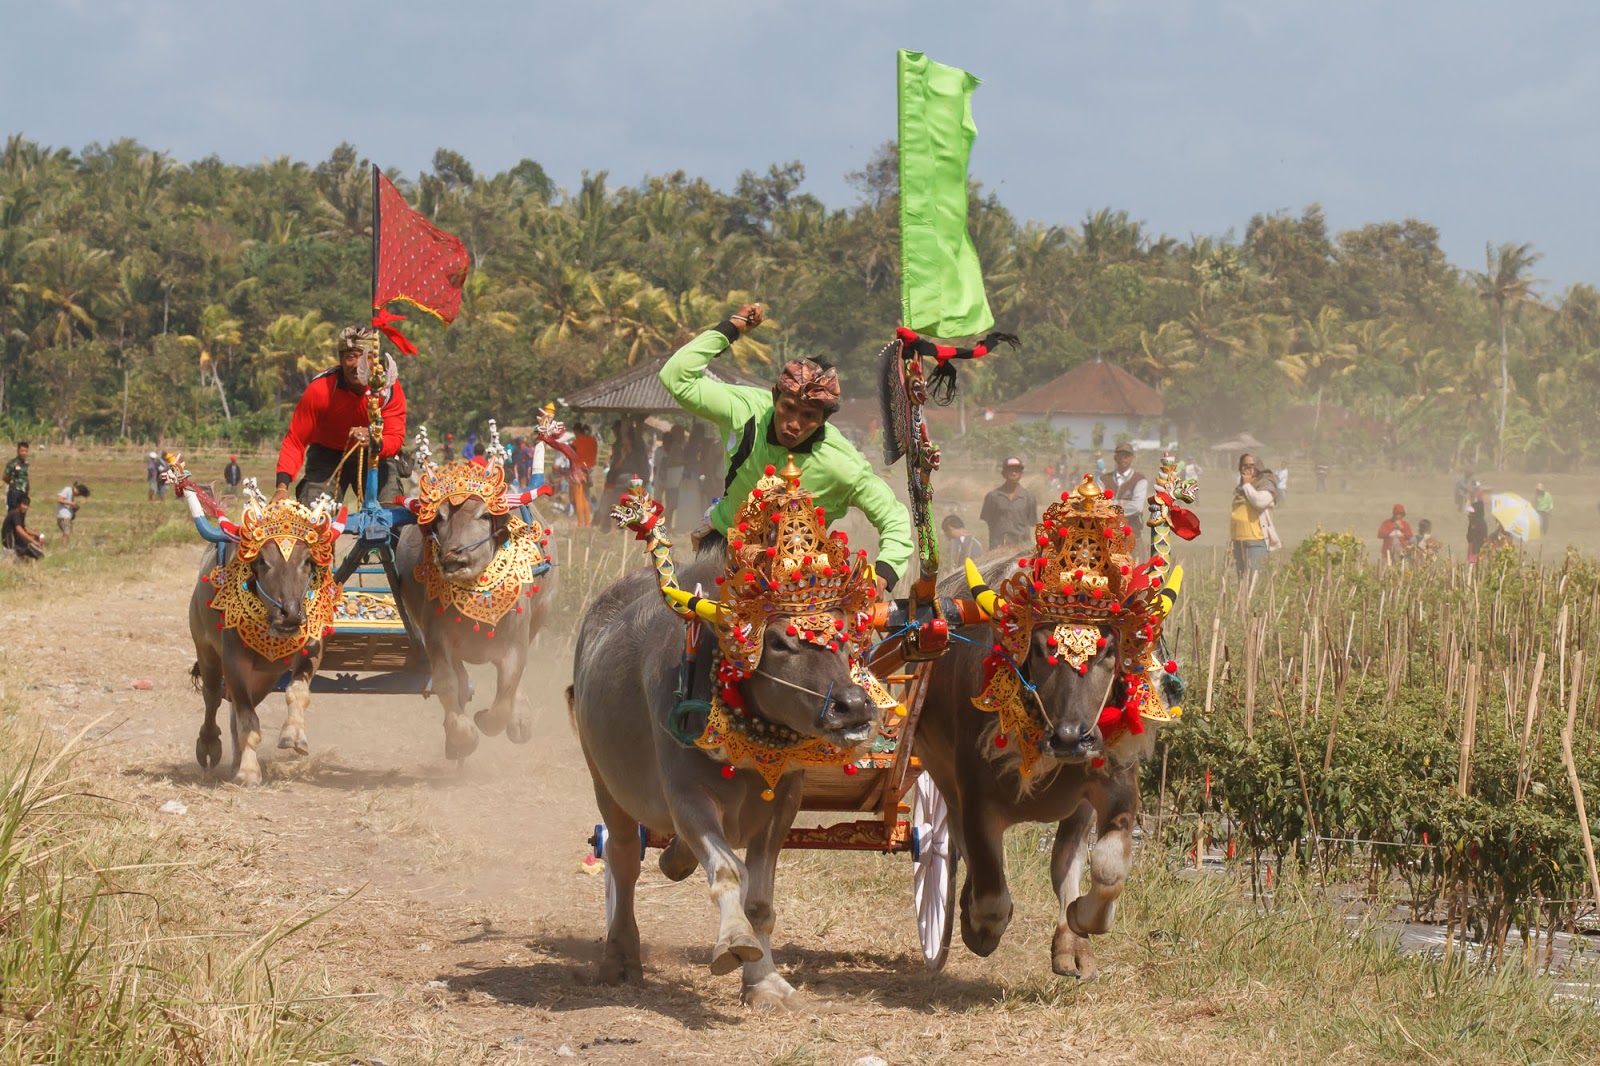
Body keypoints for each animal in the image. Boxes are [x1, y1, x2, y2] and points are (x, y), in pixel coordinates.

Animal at [569, 557, 876, 1005]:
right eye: (778, 642)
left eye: (842, 635)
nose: (851, 706)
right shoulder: (686, 796)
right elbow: (729, 870)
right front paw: (735, 941)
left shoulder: (785, 801)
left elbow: (760, 903)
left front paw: (765, 982)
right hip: (604, 783)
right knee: (623, 860)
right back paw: (620, 957)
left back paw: (675, 861)